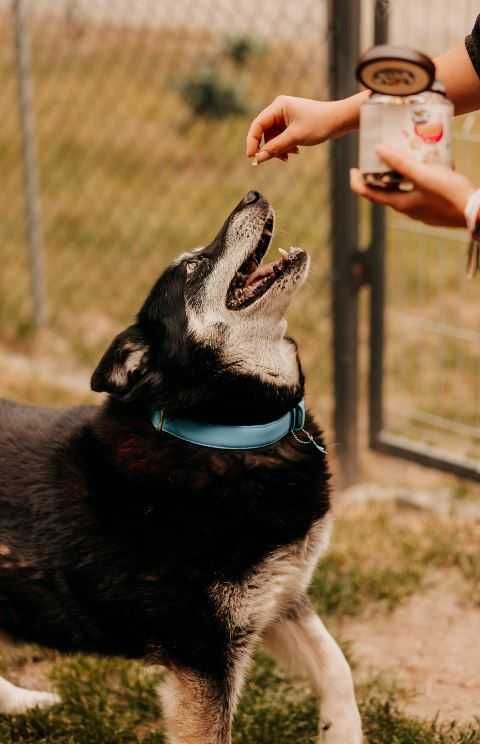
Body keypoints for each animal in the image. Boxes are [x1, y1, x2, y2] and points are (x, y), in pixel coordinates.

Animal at [0, 193, 362, 744]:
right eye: (192, 267)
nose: (252, 195)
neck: (221, 431)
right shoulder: (204, 655)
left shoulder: (279, 599)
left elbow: (337, 668)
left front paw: (342, 731)